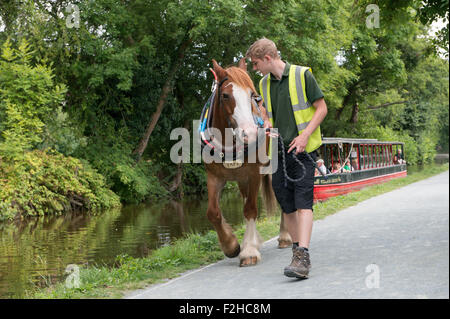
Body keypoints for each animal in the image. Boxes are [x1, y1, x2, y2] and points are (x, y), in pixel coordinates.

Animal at [203, 58, 292, 268]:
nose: (250, 133)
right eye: (225, 95)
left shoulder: (254, 174)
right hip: (241, 179)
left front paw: (249, 251)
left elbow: (251, 209)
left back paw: (285, 235)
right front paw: (231, 245)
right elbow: (213, 212)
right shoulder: (214, 176)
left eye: (252, 95)